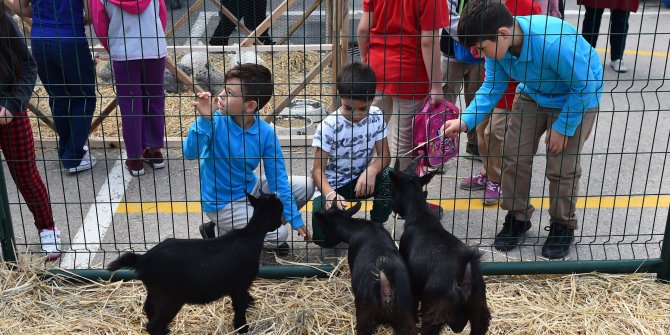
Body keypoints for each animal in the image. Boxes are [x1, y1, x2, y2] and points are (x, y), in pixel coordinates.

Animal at [108, 192, 286, 335]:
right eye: (280, 208)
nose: (280, 223)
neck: (251, 234)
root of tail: (142, 259)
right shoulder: (240, 285)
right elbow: (240, 306)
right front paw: (242, 328)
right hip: (170, 298)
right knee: (154, 325)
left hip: (155, 291)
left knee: (148, 308)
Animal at [388, 159, 494, 335]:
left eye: (392, 189)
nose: (393, 209)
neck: (420, 215)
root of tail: (464, 276)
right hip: (480, 311)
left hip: (435, 312)